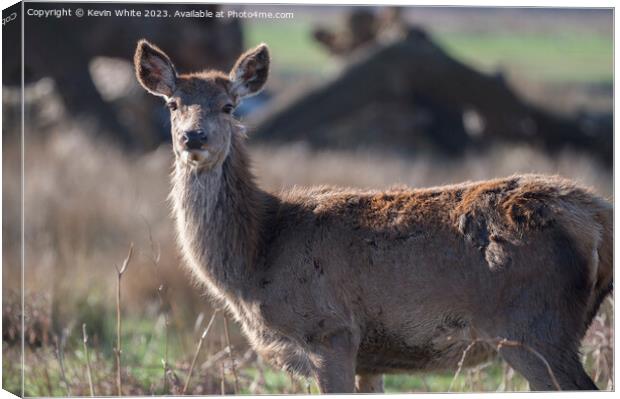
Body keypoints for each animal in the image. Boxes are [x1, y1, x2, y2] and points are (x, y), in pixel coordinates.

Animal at [133, 40, 612, 394]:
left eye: (229, 105)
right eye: (173, 104)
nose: (194, 137)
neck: (257, 257)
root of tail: (597, 215)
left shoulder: (329, 330)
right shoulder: (370, 357)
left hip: (534, 325)